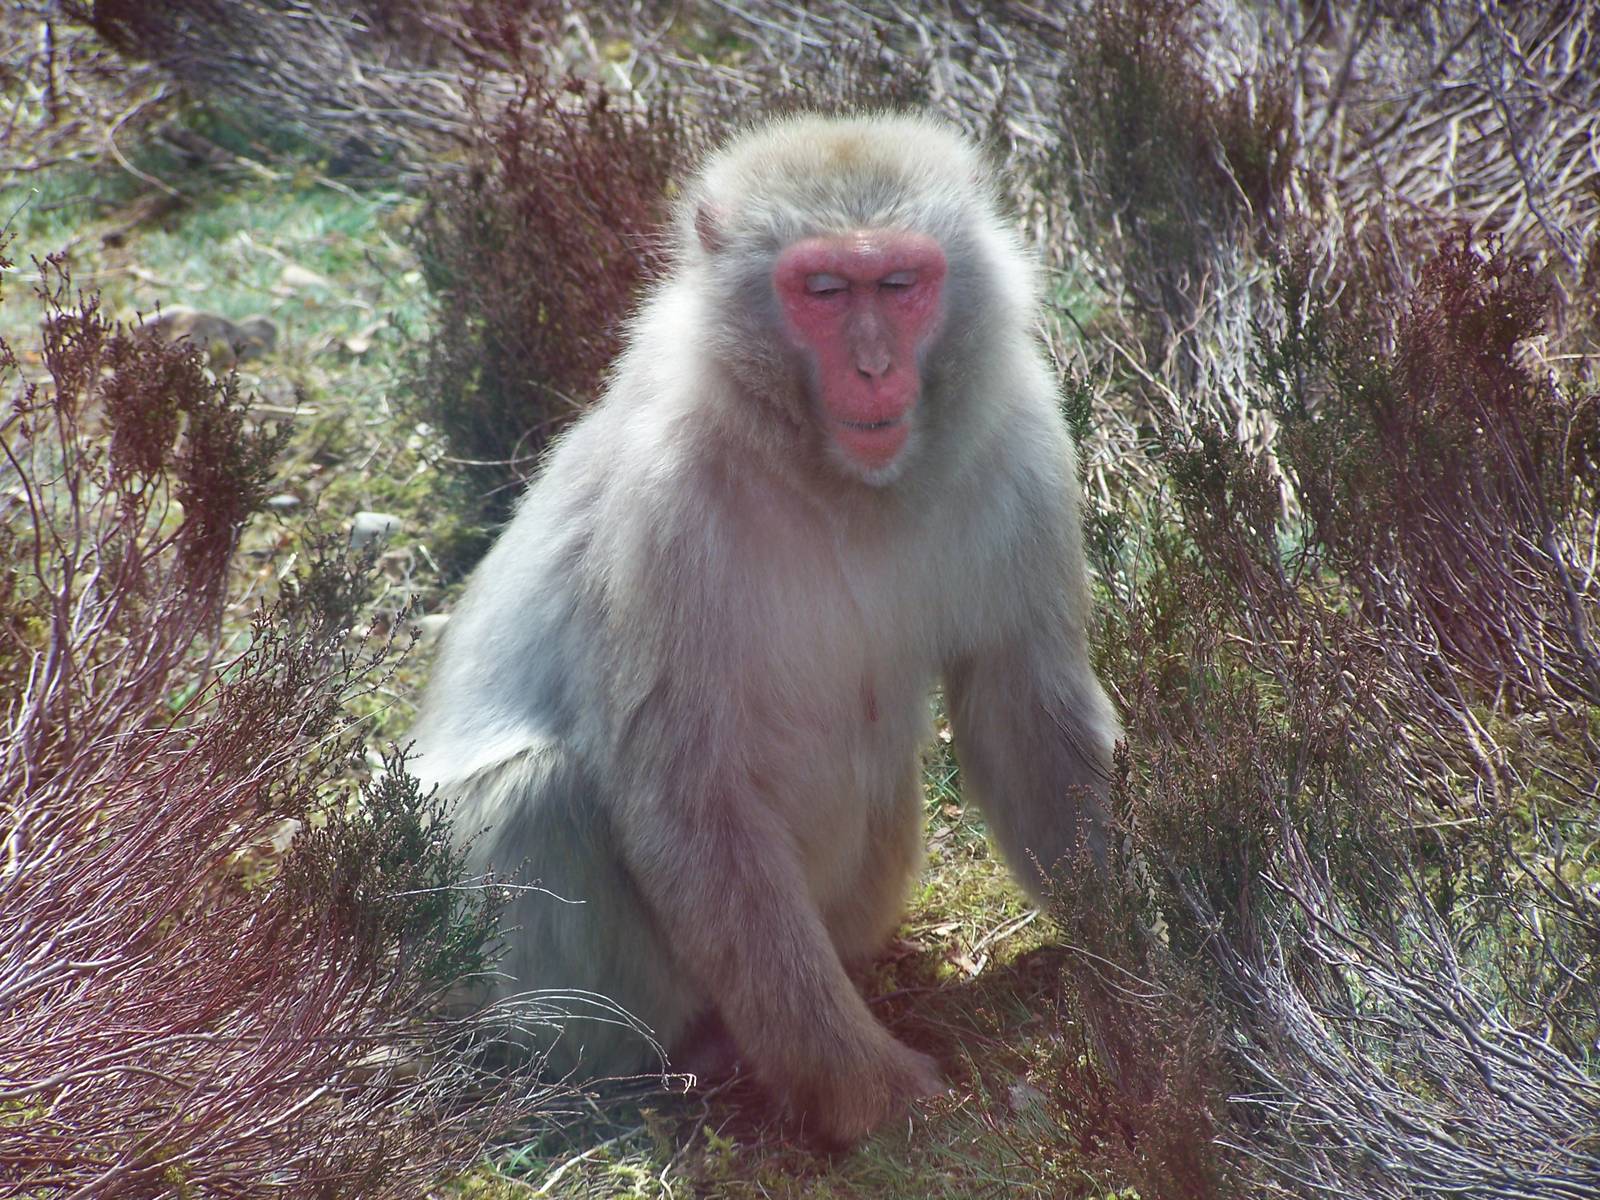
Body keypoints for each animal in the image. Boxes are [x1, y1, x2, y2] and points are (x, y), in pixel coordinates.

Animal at [408, 113, 1119, 1146]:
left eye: (899, 285)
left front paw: (1147, 941)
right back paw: (631, 1069)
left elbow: (1025, 713)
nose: (874, 367)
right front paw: (863, 1089)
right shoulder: (665, 508)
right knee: (544, 793)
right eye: (822, 291)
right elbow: (688, 798)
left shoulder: (1024, 445)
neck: (835, 482)